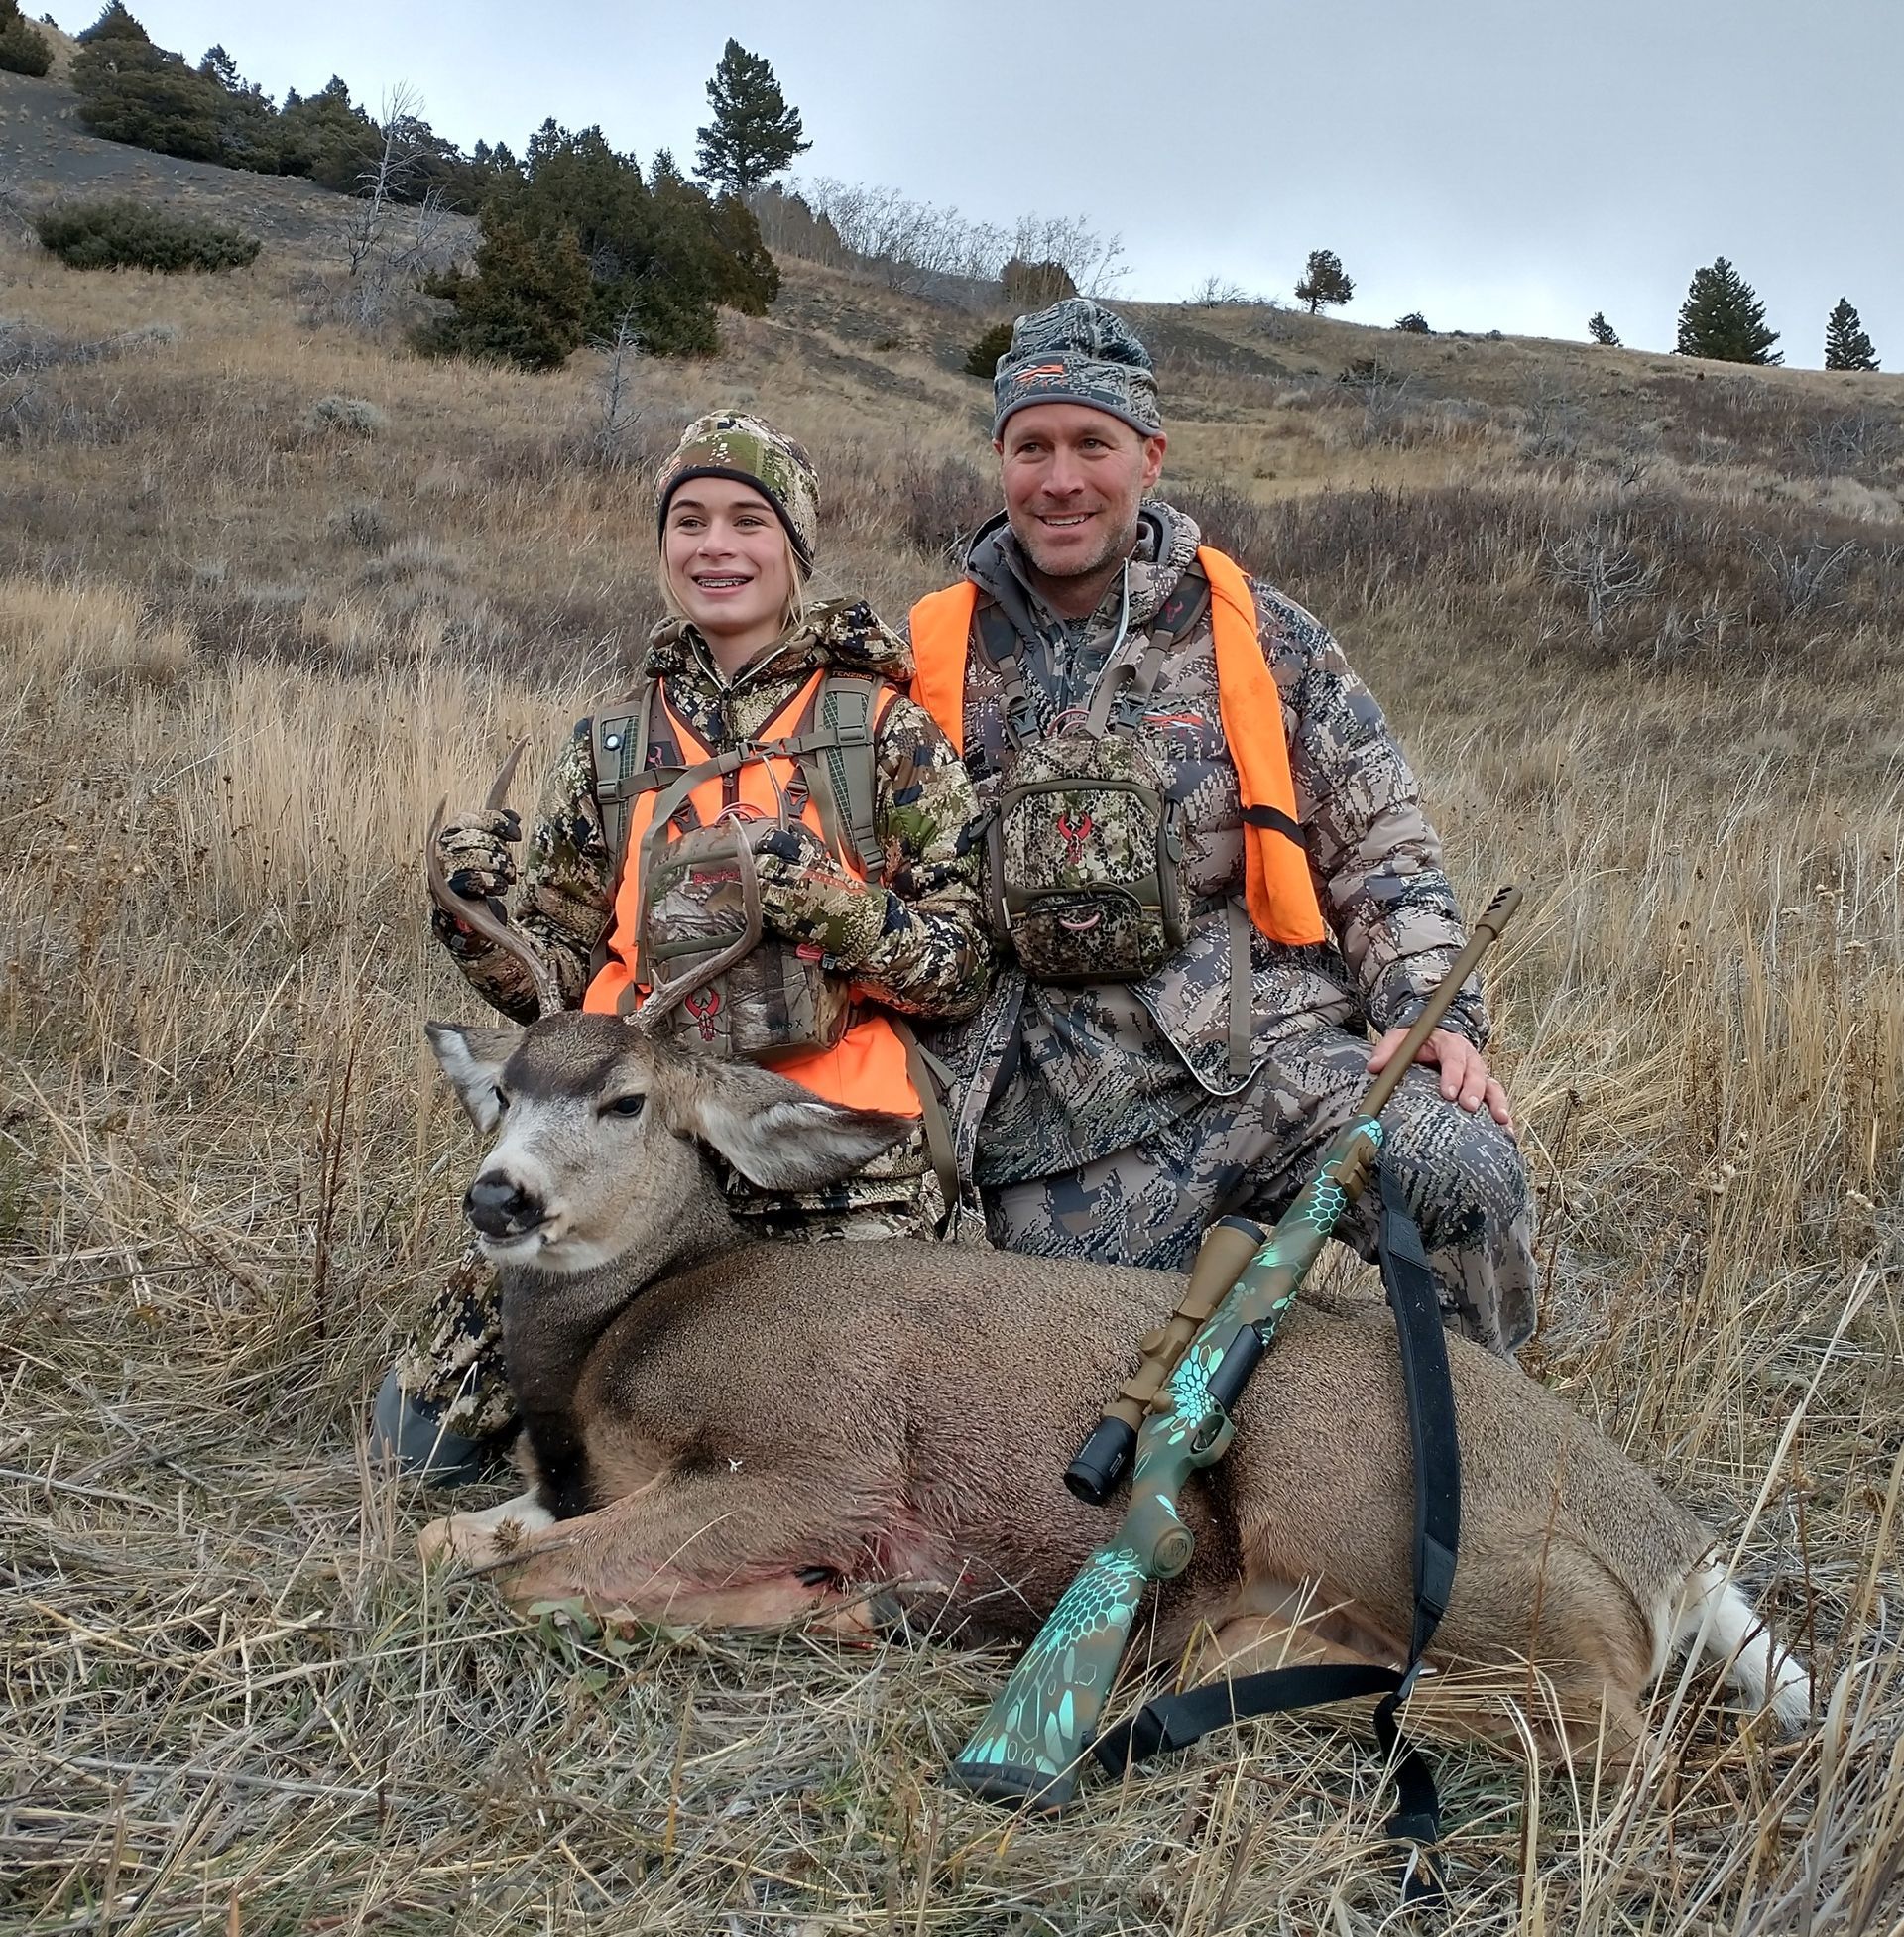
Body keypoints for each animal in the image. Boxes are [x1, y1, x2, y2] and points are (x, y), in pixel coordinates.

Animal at [412, 796, 1809, 1779]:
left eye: (624, 1099)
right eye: (505, 1092)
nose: (499, 1198)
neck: (622, 1342)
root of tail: (1680, 1551)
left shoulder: (814, 1458)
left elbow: (525, 1581)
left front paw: (817, 1605)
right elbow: (458, 1543)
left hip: (1358, 1498)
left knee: (1599, 1730)